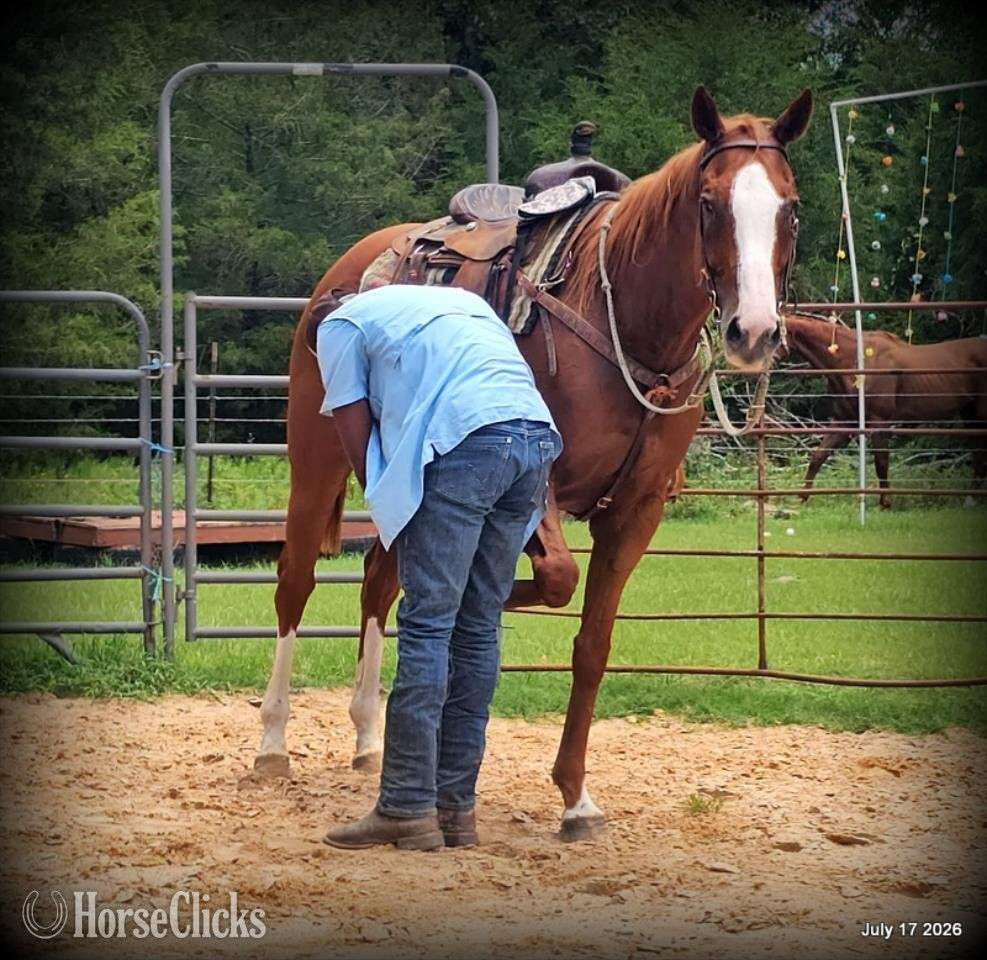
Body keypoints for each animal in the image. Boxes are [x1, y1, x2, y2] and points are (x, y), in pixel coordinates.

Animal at [255, 86, 812, 839]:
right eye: (707, 202)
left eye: (790, 206)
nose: (752, 332)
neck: (623, 317)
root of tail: (348, 269)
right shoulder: (536, 484)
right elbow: (553, 579)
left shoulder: (636, 512)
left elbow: (592, 642)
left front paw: (574, 796)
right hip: (315, 463)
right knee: (296, 581)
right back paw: (273, 743)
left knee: (378, 580)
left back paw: (370, 738)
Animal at [783, 314, 987, 508]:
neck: (857, 362)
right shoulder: (844, 422)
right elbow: (818, 456)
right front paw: (801, 499)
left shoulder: (879, 422)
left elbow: (881, 462)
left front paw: (886, 502)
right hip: (970, 415)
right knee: (977, 454)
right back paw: (971, 499)